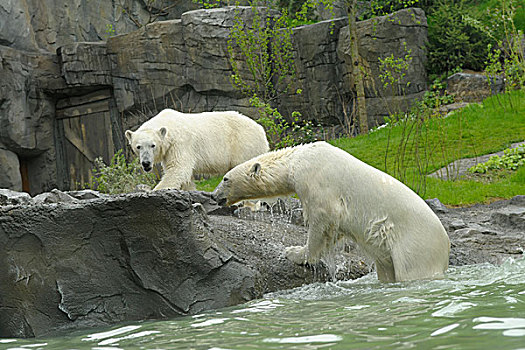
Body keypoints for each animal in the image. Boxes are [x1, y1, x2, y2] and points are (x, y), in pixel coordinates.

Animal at [124, 109, 268, 191]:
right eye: (138, 147)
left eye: (153, 145)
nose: (146, 163)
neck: (169, 124)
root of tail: (262, 131)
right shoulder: (169, 150)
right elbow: (186, 177)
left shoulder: (180, 143)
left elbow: (178, 169)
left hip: (244, 145)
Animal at [213, 141, 450, 284]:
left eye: (225, 178)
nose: (215, 196)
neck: (296, 160)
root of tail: (445, 242)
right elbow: (335, 230)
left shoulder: (316, 180)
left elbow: (322, 218)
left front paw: (294, 253)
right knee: (386, 267)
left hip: (415, 243)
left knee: (412, 268)